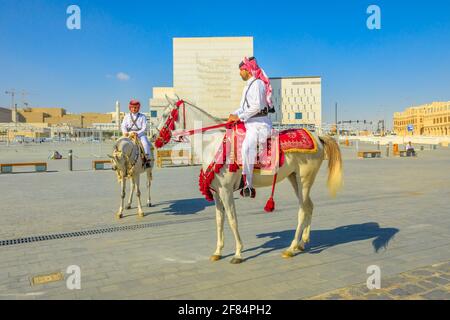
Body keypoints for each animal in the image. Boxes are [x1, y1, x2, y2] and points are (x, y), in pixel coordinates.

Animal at [156, 97, 342, 262]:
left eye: (165, 115)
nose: (155, 139)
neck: (212, 144)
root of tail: (318, 137)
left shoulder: (226, 191)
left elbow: (232, 219)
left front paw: (238, 253)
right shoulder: (216, 193)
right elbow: (219, 220)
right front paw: (218, 251)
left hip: (304, 180)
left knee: (303, 210)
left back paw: (291, 247)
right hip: (294, 179)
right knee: (309, 206)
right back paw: (302, 243)